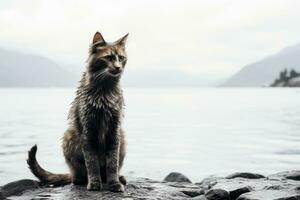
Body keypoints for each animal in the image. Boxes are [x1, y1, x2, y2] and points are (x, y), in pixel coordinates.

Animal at [28, 31, 130, 192]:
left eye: (121, 58)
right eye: (108, 58)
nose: (118, 67)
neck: (104, 89)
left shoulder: (114, 131)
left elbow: (112, 163)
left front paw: (114, 183)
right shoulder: (87, 131)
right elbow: (92, 163)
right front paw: (94, 183)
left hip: (123, 136)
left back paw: (118, 178)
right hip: (69, 136)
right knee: (78, 173)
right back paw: (81, 179)